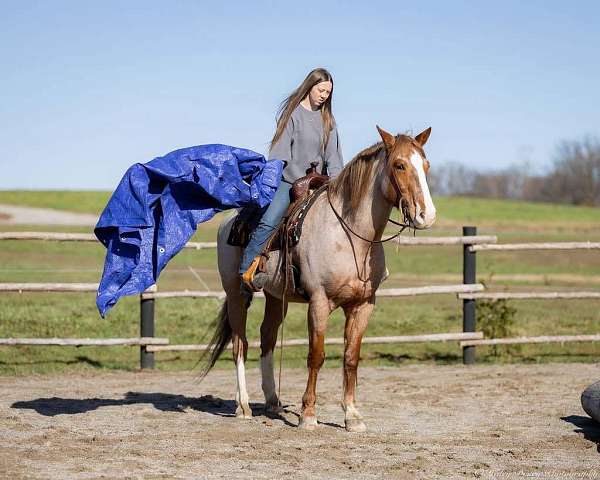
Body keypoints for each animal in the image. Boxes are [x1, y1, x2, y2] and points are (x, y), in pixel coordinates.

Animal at [202, 125, 436, 434]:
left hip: (276, 296)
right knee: (240, 344)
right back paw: (243, 406)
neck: (350, 237)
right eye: (399, 165)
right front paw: (308, 414)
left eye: (426, 165)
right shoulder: (319, 302)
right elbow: (316, 356)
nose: (426, 215)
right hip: (236, 293)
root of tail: (231, 219)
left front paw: (352, 415)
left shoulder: (364, 305)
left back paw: (273, 401)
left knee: (267, 337)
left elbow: (351, 357)